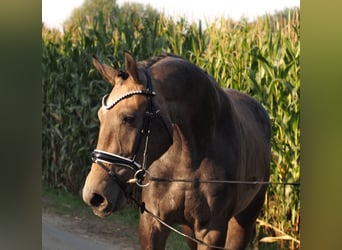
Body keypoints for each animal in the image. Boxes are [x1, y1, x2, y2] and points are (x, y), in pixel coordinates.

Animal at [81, 51, 272, 250]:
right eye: (100, 116)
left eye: (128, 117)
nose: (93, 195)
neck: (188, 158)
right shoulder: (153, 223)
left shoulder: (211, 231)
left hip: (244, 219)